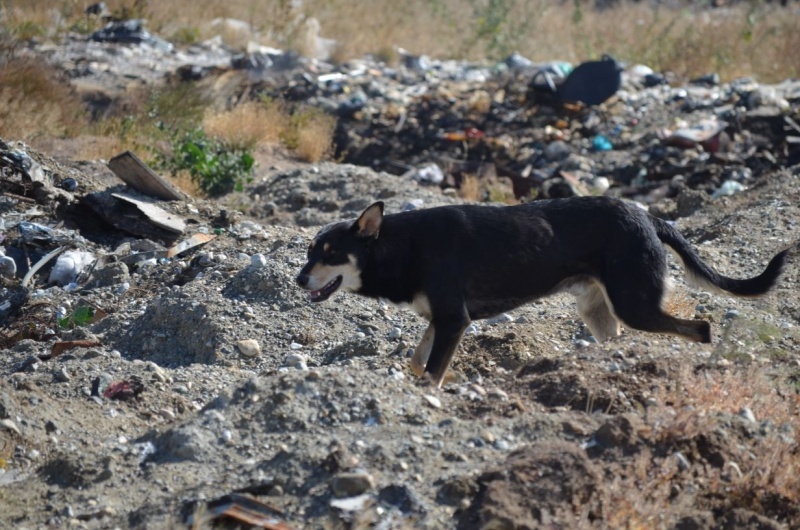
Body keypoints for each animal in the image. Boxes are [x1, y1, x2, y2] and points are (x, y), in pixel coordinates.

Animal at [296, 196, 788, 386]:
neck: (402, 246)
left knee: (700, 328)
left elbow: (432, 372)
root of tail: (650, 216)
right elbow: (418, 360)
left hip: (636, 305)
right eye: (308, 251)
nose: (299, 279)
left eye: (331, 254)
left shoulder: (454, 319)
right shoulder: (442, 318)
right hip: (599, 312)